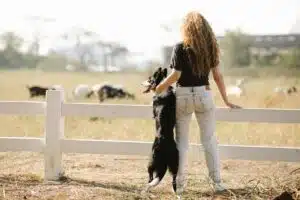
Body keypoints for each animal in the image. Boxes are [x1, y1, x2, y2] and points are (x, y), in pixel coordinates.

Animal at [141, 67, 180, 197]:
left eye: (149, 79)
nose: (141, 83)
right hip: (174, 163)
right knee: (174, 179)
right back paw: (176, 193)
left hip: (151, 161)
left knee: (151, 177)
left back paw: (147, 188)